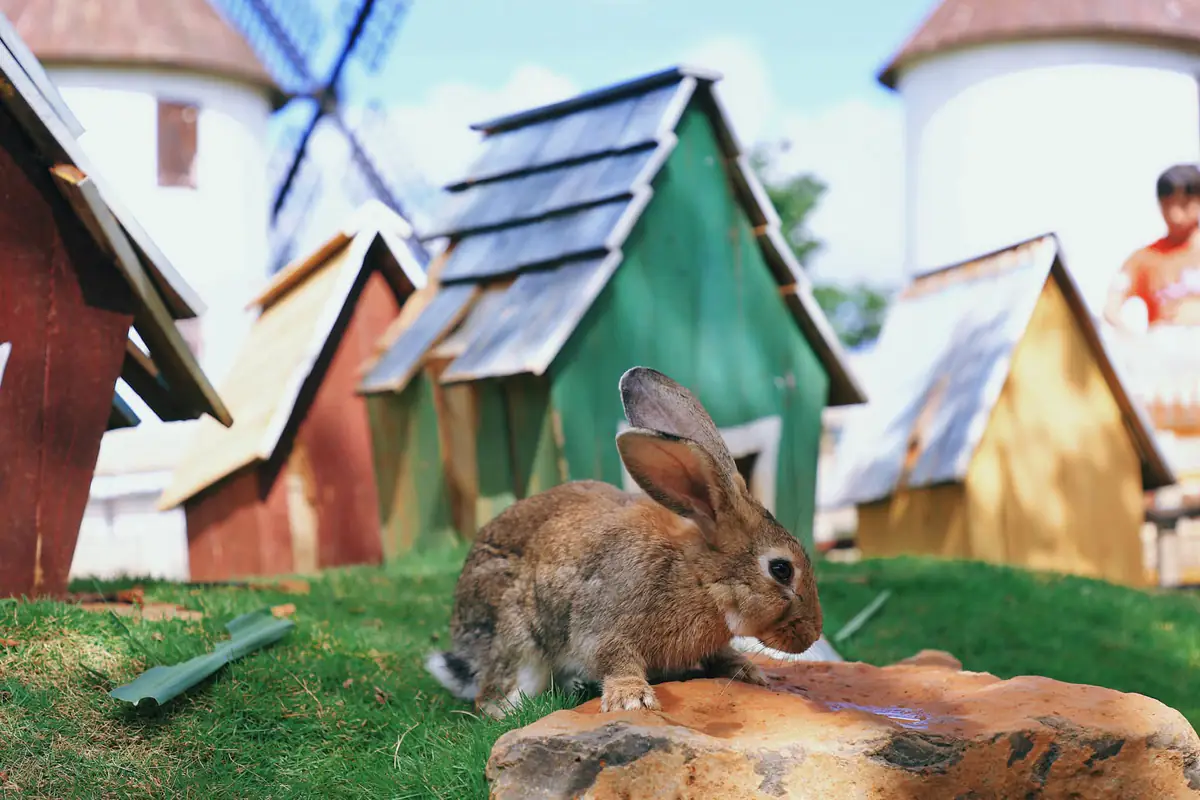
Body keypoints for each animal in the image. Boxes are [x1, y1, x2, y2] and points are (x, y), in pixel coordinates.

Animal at [425, 366, 823, 718]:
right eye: (781, 570)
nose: (813, 634)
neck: (698, 578)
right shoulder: (604, 624)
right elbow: (615, 659)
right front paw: (632, 699)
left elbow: (723, 655)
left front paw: (753, 674)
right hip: (518, 637)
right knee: (492, 699)